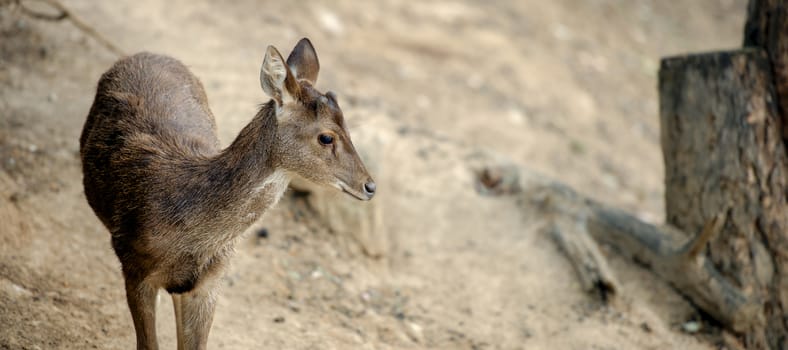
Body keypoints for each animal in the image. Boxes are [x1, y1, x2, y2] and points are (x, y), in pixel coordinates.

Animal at [80, 37, 376, 348]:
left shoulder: (211, 282)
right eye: (326, 137)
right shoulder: (133, 263)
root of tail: (149, 53)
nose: (370, 186)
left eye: (349, 129)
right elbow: (147, 344)